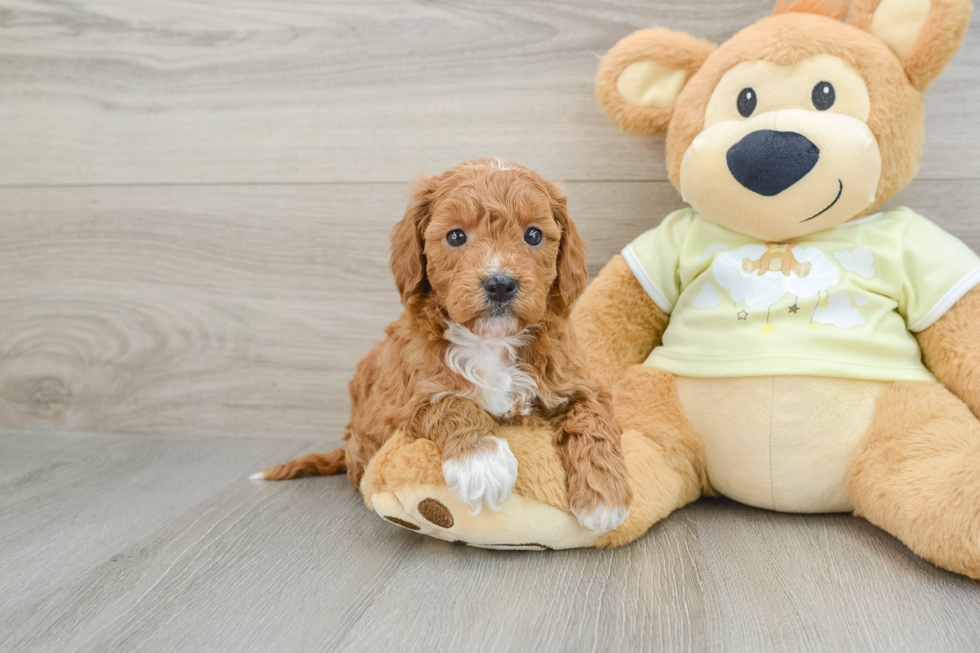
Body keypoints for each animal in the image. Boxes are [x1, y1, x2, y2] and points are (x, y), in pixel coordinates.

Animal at [256, 159, 632, 536]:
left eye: (534, 235)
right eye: (456, 236)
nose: (500, 284)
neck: (491, 341)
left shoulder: (578, 382)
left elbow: (592, 418)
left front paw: (605, 497)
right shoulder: (401, 403)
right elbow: (449, 402)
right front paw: (483, 463)